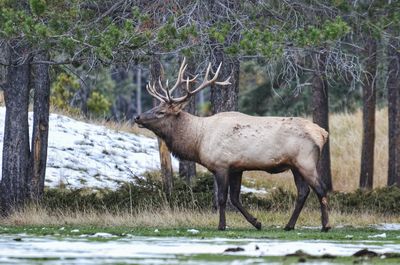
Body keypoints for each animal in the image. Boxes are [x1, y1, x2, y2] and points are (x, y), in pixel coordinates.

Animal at [135, 58, 332, 231]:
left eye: (161, 112)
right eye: (154, 107)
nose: (137, 117)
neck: (198, 140)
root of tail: (323, 133)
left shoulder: (221, 165)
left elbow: (222, 198)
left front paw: (221, 226)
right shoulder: (237, 167)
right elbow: (235, 198)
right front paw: (257, 223)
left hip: (305, 161)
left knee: (321, 189)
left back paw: (325, 225)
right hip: (294, 165)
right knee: (303, 192)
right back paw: (289, 225)